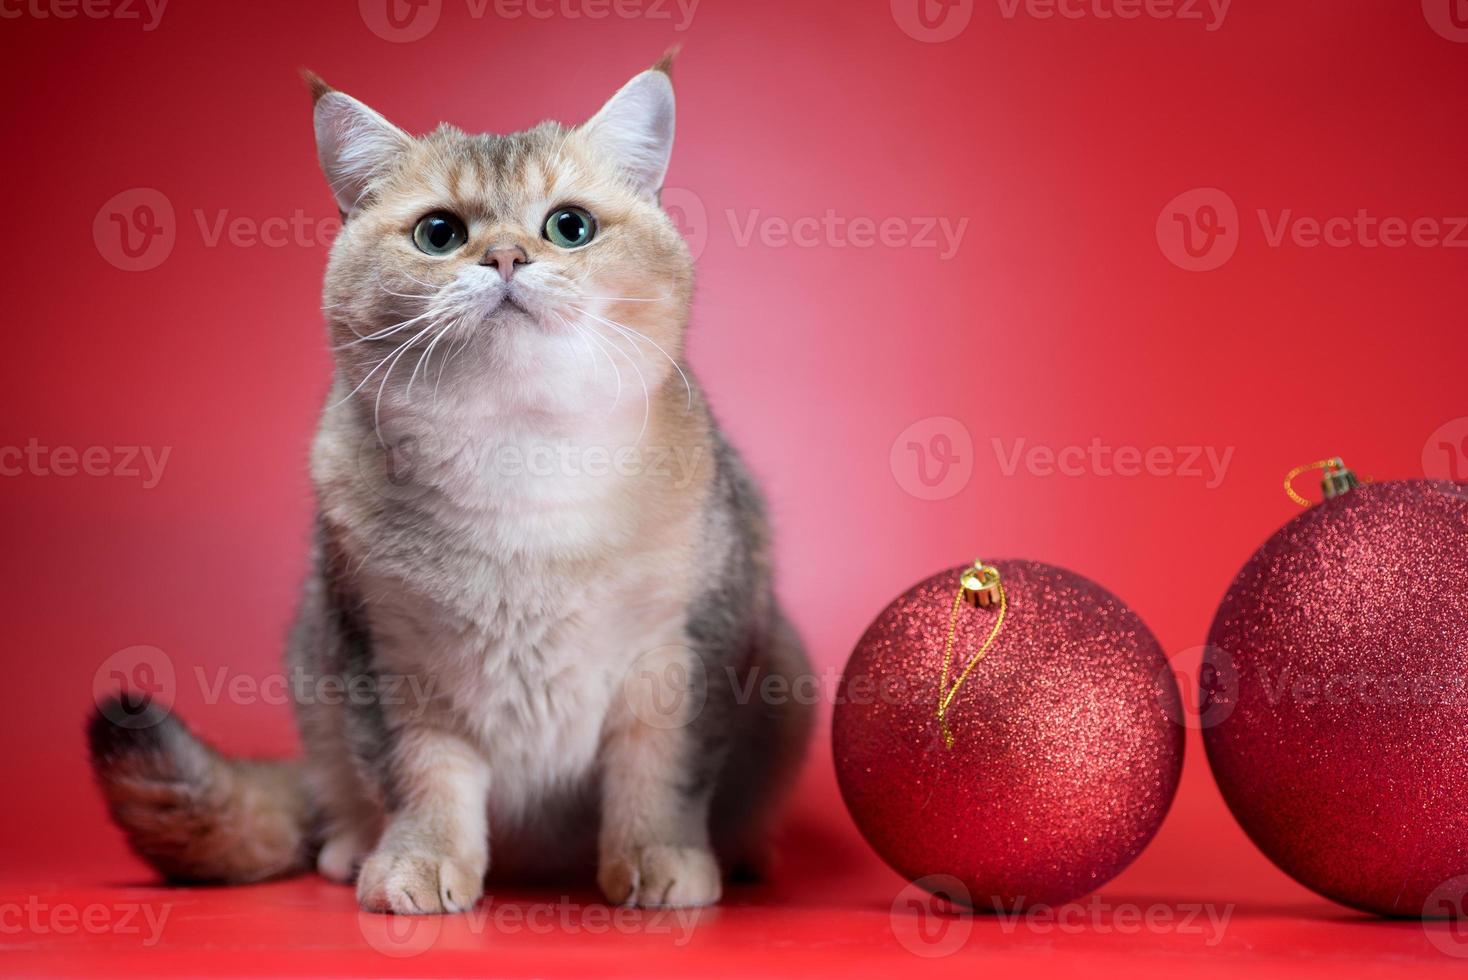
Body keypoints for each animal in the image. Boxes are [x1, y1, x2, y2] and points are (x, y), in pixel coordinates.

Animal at [85, 57, 816, 915]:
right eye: (440, 234)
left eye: (570, 227)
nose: (503, 259)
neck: (519, 460)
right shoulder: (387, 658)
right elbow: (421, 778)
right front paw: (420, 861)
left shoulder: (684, 649)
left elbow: (660, 773)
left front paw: (656, 855)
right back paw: (349, 847)